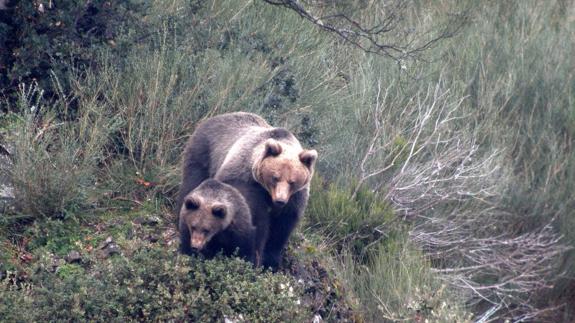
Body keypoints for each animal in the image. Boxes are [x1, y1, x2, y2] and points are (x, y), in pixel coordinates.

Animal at [178, 112, 318, 270]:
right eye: (275, 177)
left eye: (292, 182)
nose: (280, 200)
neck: (267, 191)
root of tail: (218, 116)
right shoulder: (245, 180)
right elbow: (256, 222)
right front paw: (256, 258)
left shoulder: (295, 198)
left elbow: (282, 228)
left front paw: (271, 262)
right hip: (203, 151)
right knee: (192, 181)